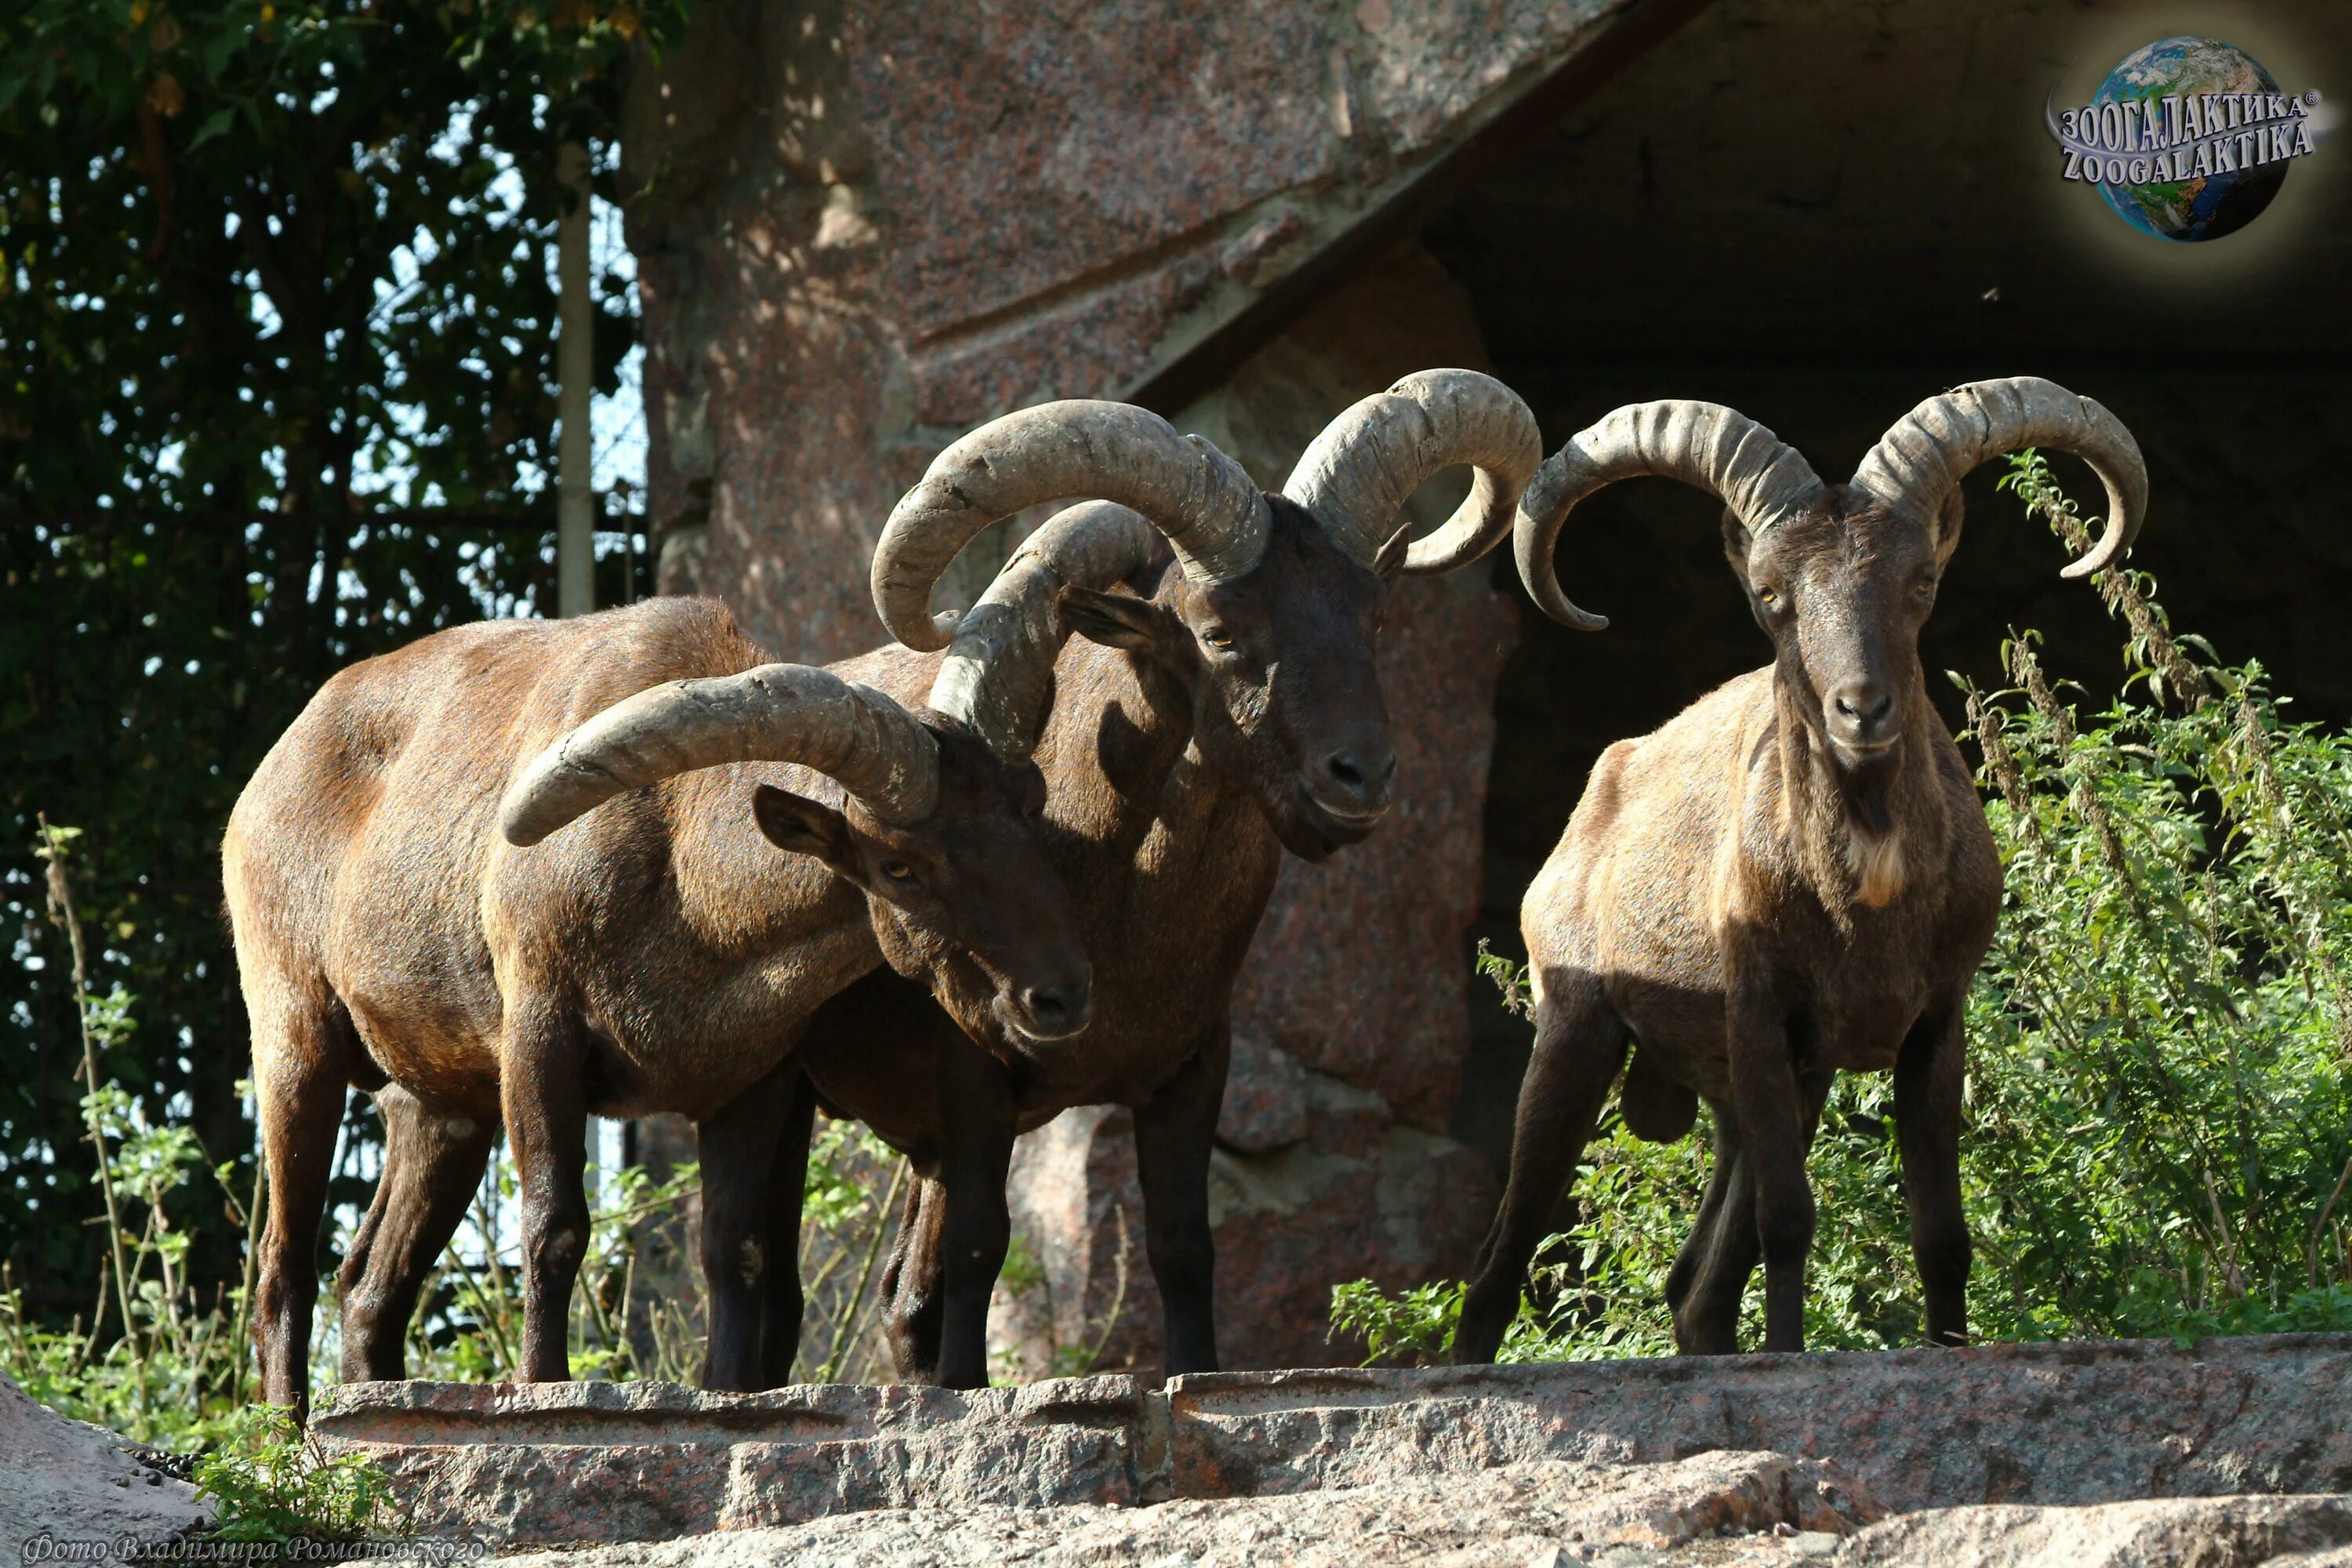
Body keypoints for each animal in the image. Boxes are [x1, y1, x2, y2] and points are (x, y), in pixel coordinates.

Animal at [224, 601, 1087, 1410]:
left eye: (1028, 806)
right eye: (899, 864)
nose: (1059, 995)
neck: (681, 868)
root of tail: (272, 770)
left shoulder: (756, 1076)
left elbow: (735, 1248)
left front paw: (731, 1394)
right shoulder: (541, 1032)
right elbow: (555, 1227)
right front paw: (545, 1386)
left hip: (441, 1109)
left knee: (372, 1281)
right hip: (294, 1037)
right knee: (282, 1265)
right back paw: (286, 1432)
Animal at [1449, 380, 2154, 1363]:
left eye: (1920, 583)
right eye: (1770, 592)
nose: (1862, 709)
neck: (1865, 900)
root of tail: (1603, 788)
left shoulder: (1932, 1024)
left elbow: (1942, 1233)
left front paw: (1946, 1348)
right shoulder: (1759, 1017)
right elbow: (1787, 1220)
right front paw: (1789, 1353)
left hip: (1773, 1088)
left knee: (1695, 1285)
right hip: (1579, 1026)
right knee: (1499, 1261)